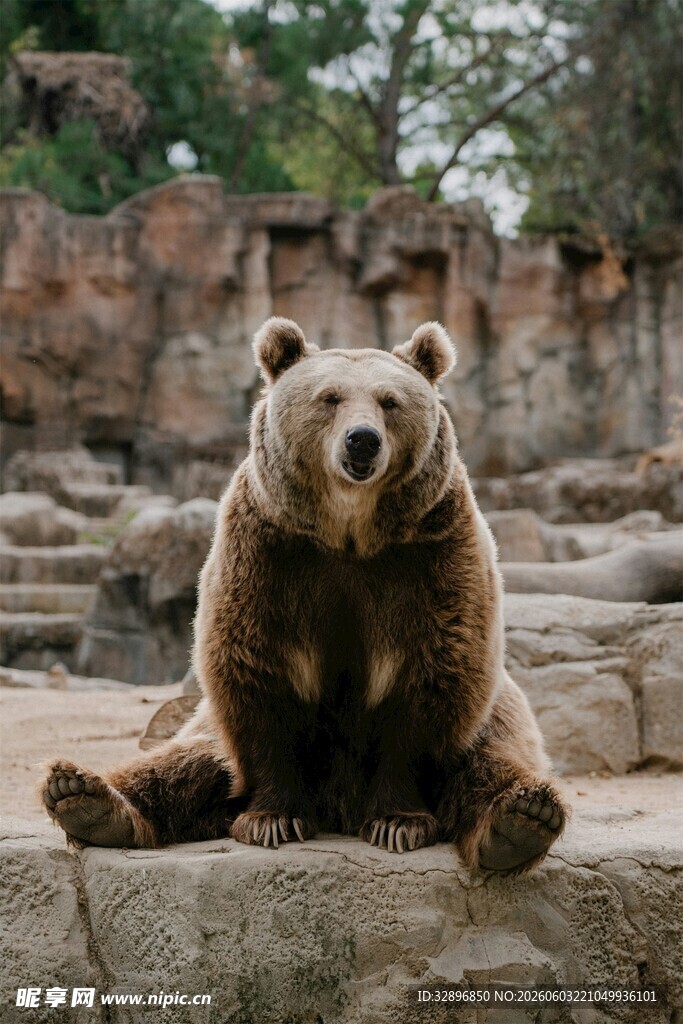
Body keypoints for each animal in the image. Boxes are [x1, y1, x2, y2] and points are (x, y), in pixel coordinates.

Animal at [42, 317, 567, 874]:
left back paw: (520, 820)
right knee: (184, 762)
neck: (349, 530)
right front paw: (270, 819)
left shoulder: (431, 554)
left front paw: (397, 822)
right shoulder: (270, 553)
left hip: (499, 719)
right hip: (204, 728)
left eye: (389, 401)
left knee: (492, 765)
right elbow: (258, 673)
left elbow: (429, 678)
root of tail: (339, 808)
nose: (362, 441)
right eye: (329, 397)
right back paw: (85, 797)